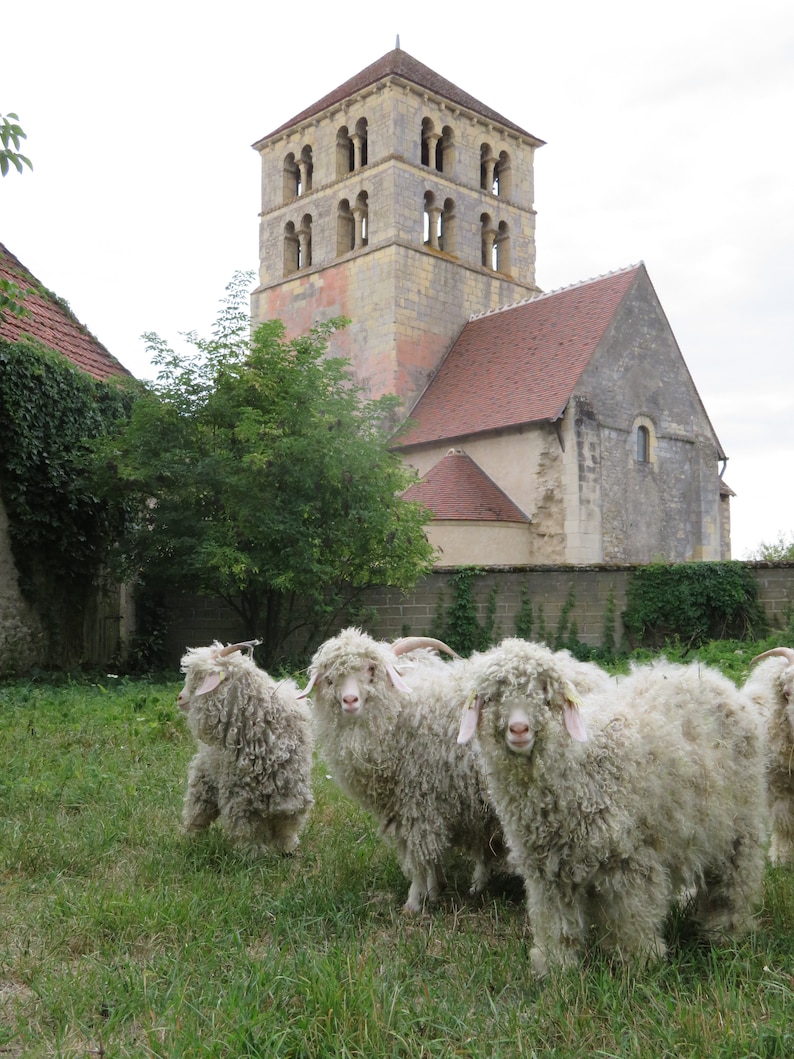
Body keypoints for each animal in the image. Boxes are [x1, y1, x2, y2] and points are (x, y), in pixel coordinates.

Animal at [178, 639, 315, 855]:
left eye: (200, 678)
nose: (180, 698)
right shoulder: (240, 795)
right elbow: (246, 827)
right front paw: (252, 853)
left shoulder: (289, 791)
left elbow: (287, 824)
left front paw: (286, 849)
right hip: (205, 775)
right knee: (198, 809)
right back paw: (191, 837)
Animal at [296, 626, 506, 910]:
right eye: (329, 678)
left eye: (372, 669)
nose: (349, 700)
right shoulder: (403, 806)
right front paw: (435, 889)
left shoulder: (420, 802)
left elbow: (419, 855)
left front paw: (415, 901)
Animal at [459, 635, 770, 974]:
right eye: (492, 697)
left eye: (545, 694)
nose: (518, 730)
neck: (581, 765)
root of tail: (717, 681)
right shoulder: (546, 869)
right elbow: (555, 920)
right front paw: (555, 965)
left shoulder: (631, 858)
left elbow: (633, 914)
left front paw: (640, 961)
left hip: (740, 823)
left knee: (732, 880)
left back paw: (725, 932)